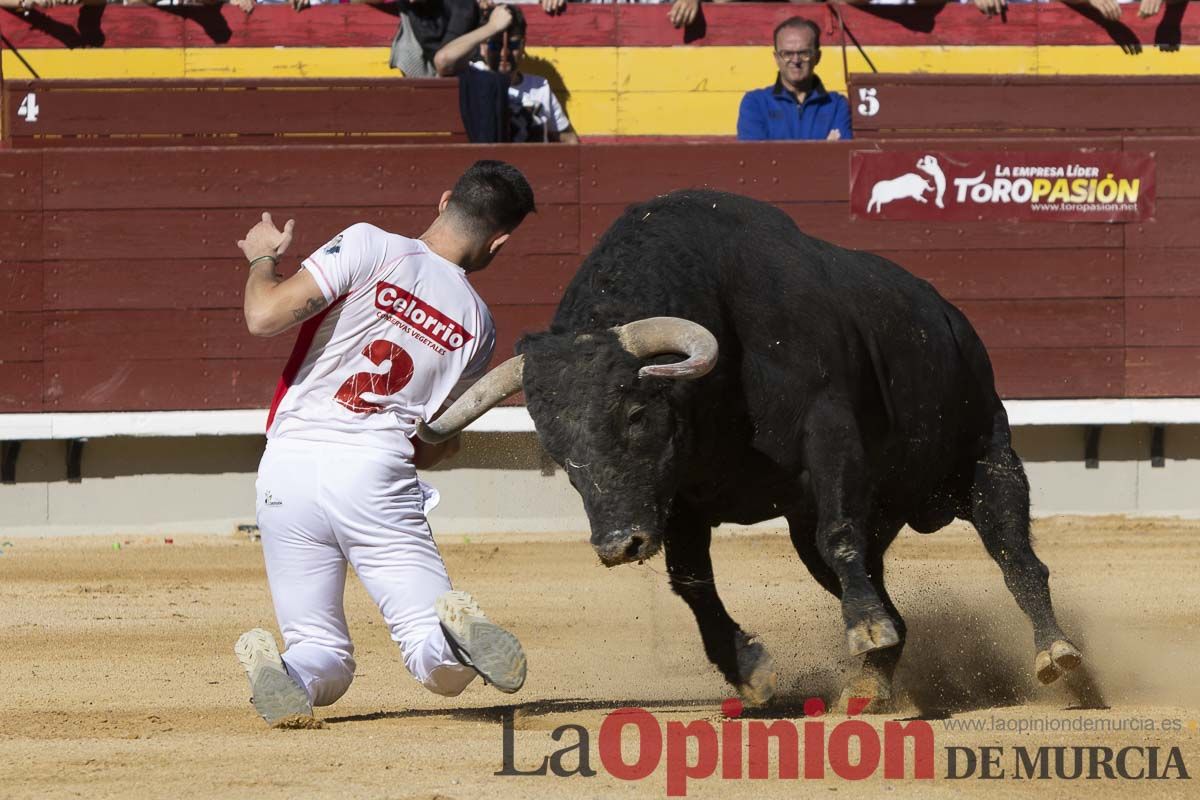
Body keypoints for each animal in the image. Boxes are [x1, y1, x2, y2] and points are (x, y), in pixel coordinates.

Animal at [420, 190, 1080, 710]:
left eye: (635, 413)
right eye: (555, 449)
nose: (618, 546)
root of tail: (946, 312)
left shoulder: (829, 431)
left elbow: (840, 533)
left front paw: (863, 629)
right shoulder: (680, 496)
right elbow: (692, 582)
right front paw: (750, 671)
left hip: (987, 456)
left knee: (1016, 556)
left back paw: (1058, 656)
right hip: (839, 523)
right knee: (877, 588)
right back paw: (870, 687)